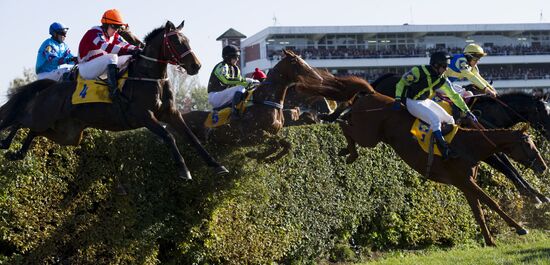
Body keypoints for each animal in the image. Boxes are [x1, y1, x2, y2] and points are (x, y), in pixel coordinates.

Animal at [0, 20, 226, 179]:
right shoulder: (144, 116)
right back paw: (6, 142)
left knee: (34, 131)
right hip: (44, 115)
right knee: (20, 120)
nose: (196, 66)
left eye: (187, 40)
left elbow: (191, 136)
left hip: (68, 133)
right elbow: (169, 137)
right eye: (176, 41)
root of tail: (52, 87)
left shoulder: (170, 113)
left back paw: (17, 153)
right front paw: (183, 170)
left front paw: (217, 165)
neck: (148, 75)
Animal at [183, 49, 326, 161]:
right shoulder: (253, 135)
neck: (266, 102)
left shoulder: (273, 132)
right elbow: (275, 143)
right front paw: (255, 154)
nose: (320, 79)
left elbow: (286, 144)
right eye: (297, 63)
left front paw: (267, 157)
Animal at [306, 74, 548, 245]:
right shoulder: (474, 171)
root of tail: (376, 88)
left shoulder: (471, 177)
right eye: (545, 113)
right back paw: (342, 139)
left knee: (348, 112)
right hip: (369, 135)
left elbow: (496, 188)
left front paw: (538, 197)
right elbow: (501, 185)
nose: (543, 167)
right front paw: (530, 207)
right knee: (345, 123)